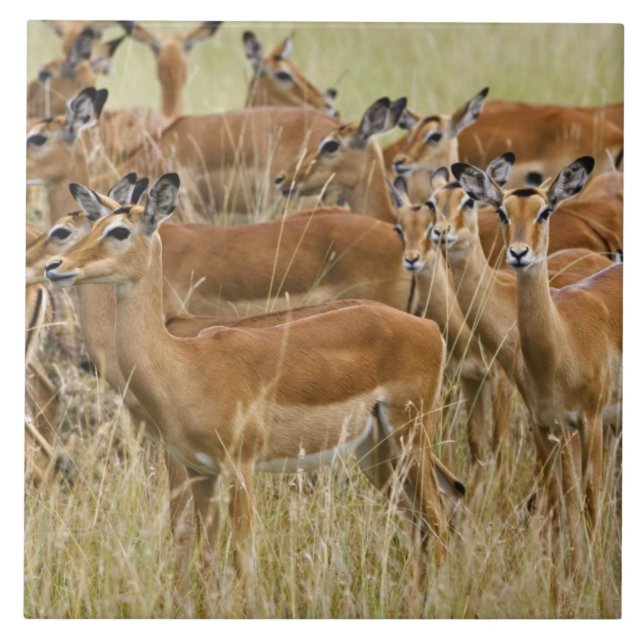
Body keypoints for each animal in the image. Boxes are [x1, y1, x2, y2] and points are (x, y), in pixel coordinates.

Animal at [44, 173, 463, 584]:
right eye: (91, 225)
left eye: (118, 231)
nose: (55, 266)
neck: (183, 363)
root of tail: (427, 328)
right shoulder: (200, 470)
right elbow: (205, 558)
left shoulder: (238, 469)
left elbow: (241, 561)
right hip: (374, 450)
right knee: (427, 514)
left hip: (410, 437)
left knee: (437, 514)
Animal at [444, 157, 621, 559]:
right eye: (503, 211)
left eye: (544, 211)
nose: (519, 253)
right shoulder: (544, 424)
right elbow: (557, 504)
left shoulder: (588, 421)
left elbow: (587, 503)